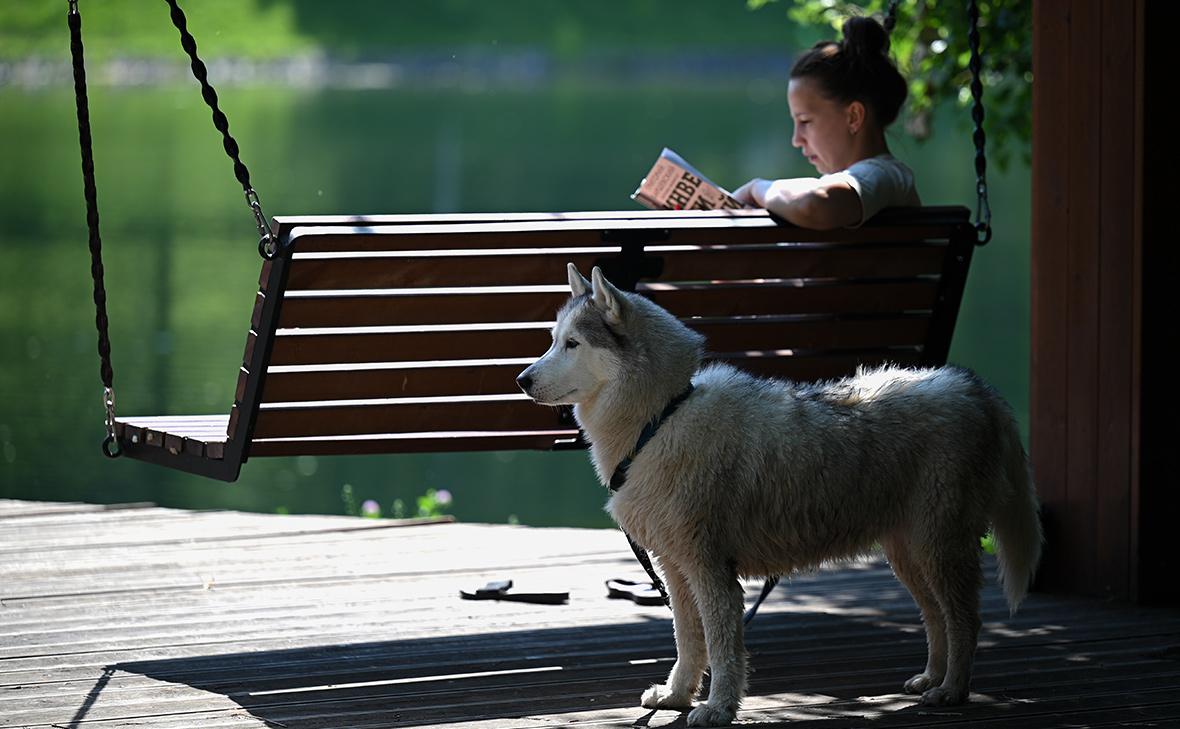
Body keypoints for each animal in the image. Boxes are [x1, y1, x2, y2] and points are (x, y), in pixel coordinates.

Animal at [516, 264, 1043, 721]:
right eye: (552, 341)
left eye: (572, 344)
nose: (520, 380)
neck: (663, 416)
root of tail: (975, 388)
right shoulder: (675, 568)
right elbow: (688, 642)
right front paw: (676, 696)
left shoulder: (711, 571)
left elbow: (723, 650)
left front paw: (717, 709)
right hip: (908, 554)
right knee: (935, 618)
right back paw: (931, 679)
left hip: (938, 549)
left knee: (965, 621)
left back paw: (952, 690)